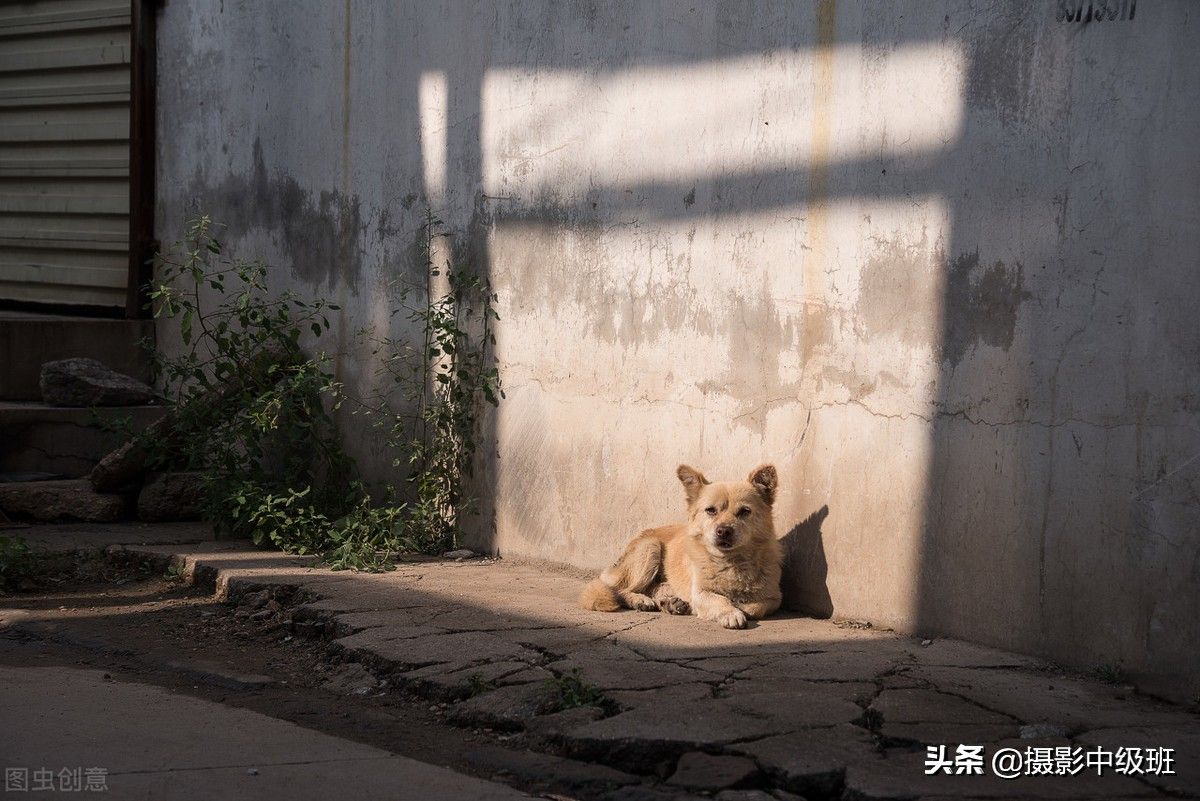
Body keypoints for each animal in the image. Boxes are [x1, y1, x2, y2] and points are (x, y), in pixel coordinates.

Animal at [578, 465, 782, 628]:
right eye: (711, 510)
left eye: (744, 512)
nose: (724, 531)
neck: (732, 562)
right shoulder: (700, 593)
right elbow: (720, 600)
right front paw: (730, 612)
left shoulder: (775, 598)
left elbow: (757, 606)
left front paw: (741, 606)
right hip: (650, 547)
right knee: (620, 590)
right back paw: (641, 600)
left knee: (654, 588)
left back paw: (670, 603)